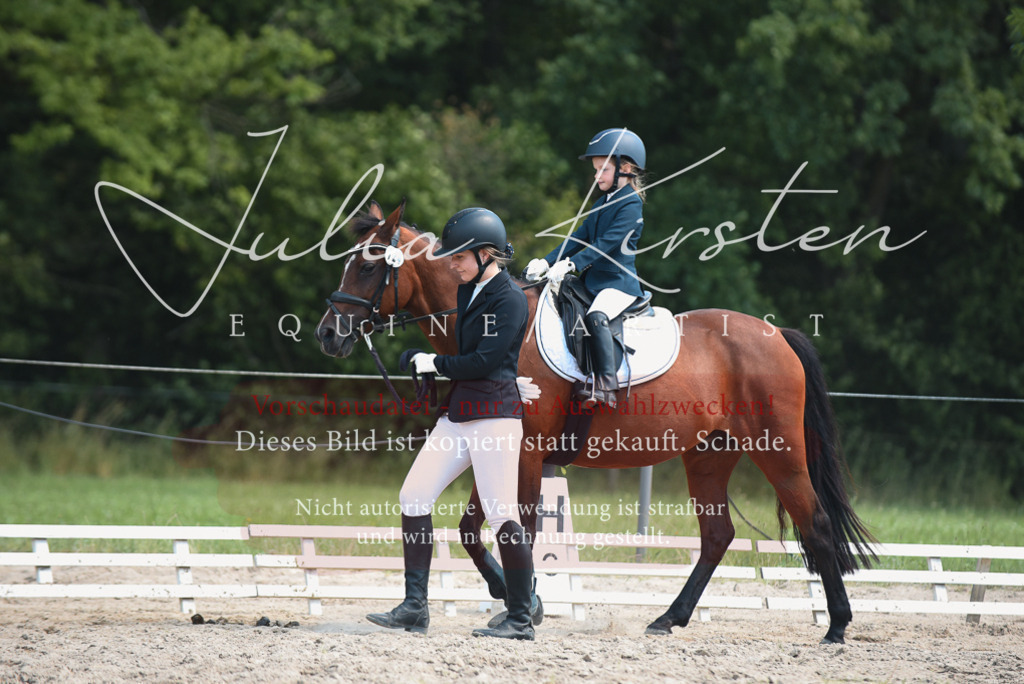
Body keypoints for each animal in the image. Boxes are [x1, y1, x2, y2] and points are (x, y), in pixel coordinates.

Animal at [315, 201, 875, 644]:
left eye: (367, 268)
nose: (327, 334)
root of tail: (778, 335)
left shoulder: (527, 453)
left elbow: (521, 529)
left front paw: (526, 608)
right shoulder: (498, 449)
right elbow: (473, 529)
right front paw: (516, 600)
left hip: (778, 451)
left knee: (815, 522)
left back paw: (836, 626)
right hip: (709, 455)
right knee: (717, 535)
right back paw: (669, 619)